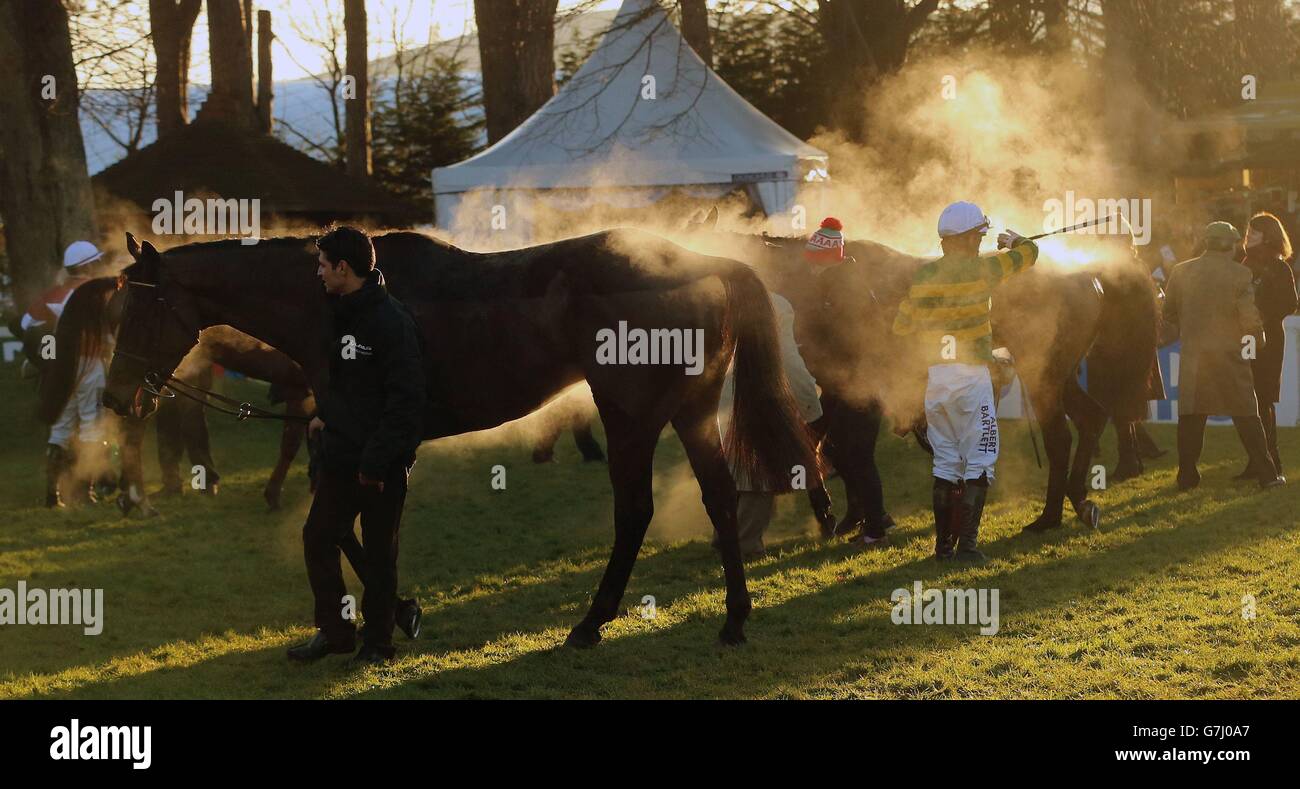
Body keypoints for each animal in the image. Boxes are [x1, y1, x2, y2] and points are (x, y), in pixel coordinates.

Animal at [104, 230, 811, 647]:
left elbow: (354, 526)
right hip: (692, 411)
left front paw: (391, 611)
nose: (115, 397)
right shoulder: (348, 440)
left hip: (630, 415)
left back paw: (591, 622)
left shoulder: (366, 441)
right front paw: (393, 609)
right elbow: (348, 526)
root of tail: (698, 260)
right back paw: (735, 617)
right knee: (719, 498)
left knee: (635, 510)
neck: (343, 310)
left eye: (141, 309)